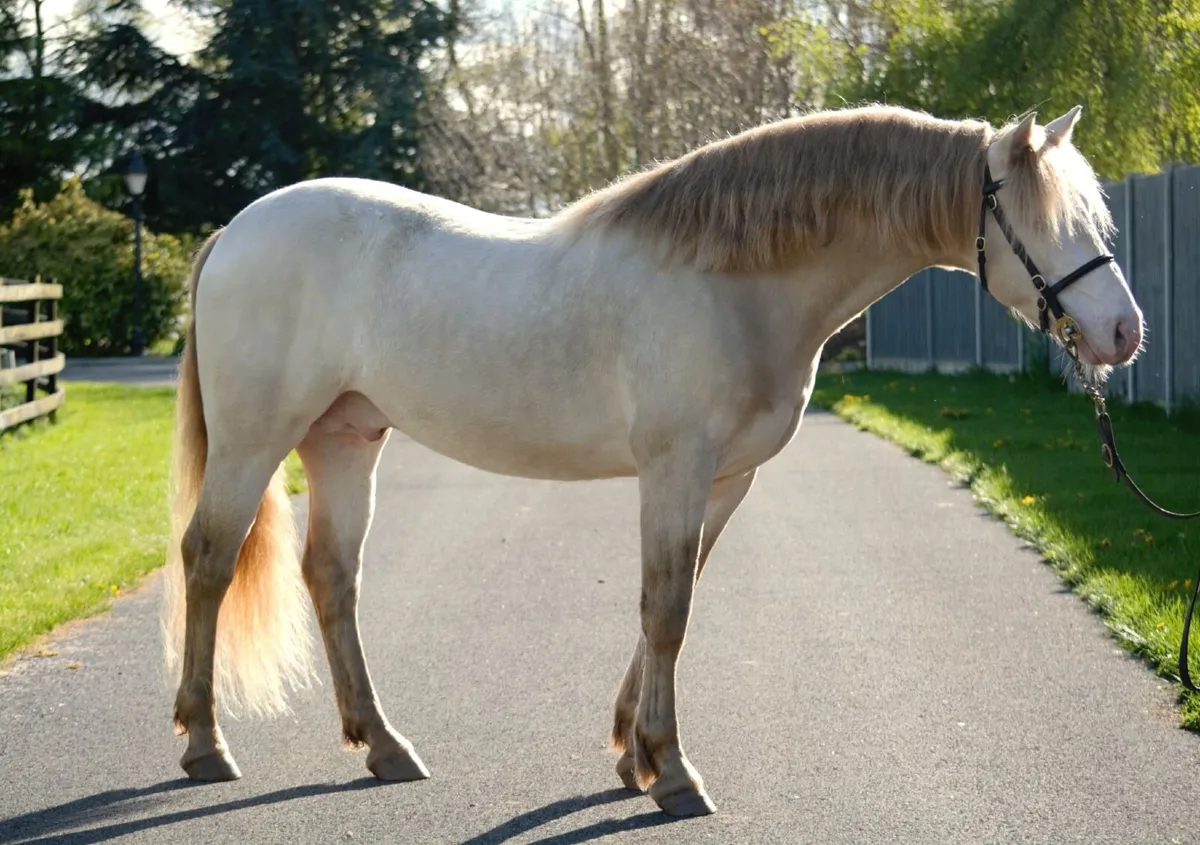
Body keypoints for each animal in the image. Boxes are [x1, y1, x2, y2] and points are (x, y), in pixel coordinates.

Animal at [160, 103, 1143, 817]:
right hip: (257, 439)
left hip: (344, 439)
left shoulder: (724, 479)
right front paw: (671, 772)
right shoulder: (675, 466)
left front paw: (632, 752)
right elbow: (666, 609)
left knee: (331, 576)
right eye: (1042, 222)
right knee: (208, 559)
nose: (1123, 334)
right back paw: (206, 745)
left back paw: (384, 745)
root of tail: (234, 231)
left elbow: (674, 599)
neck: (734, 280)